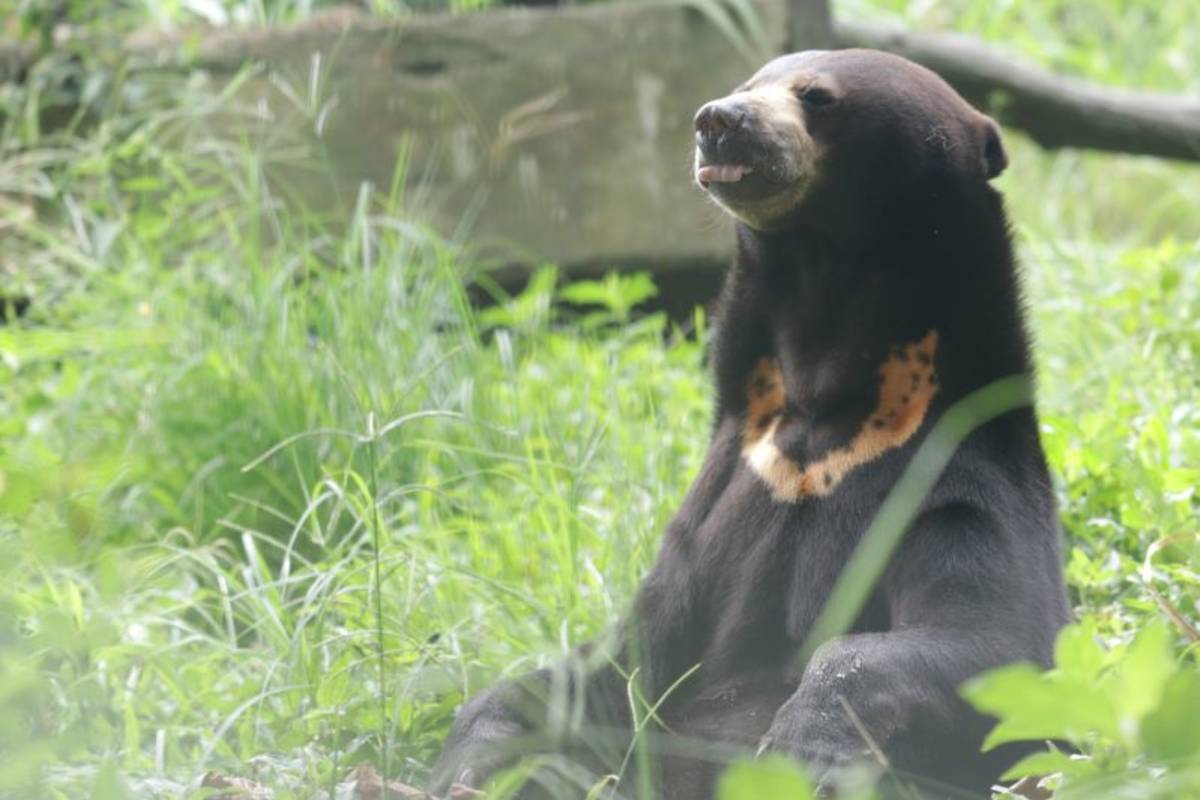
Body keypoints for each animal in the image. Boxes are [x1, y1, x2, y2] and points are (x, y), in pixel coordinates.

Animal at [429, 49, 1071, 799]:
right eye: (747, 85)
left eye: (816, 96)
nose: (718, 121)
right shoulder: (723, 496)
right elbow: (615, 661)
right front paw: (473, 760)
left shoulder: (956, 478)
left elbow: (997, 642)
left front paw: (805, 744)